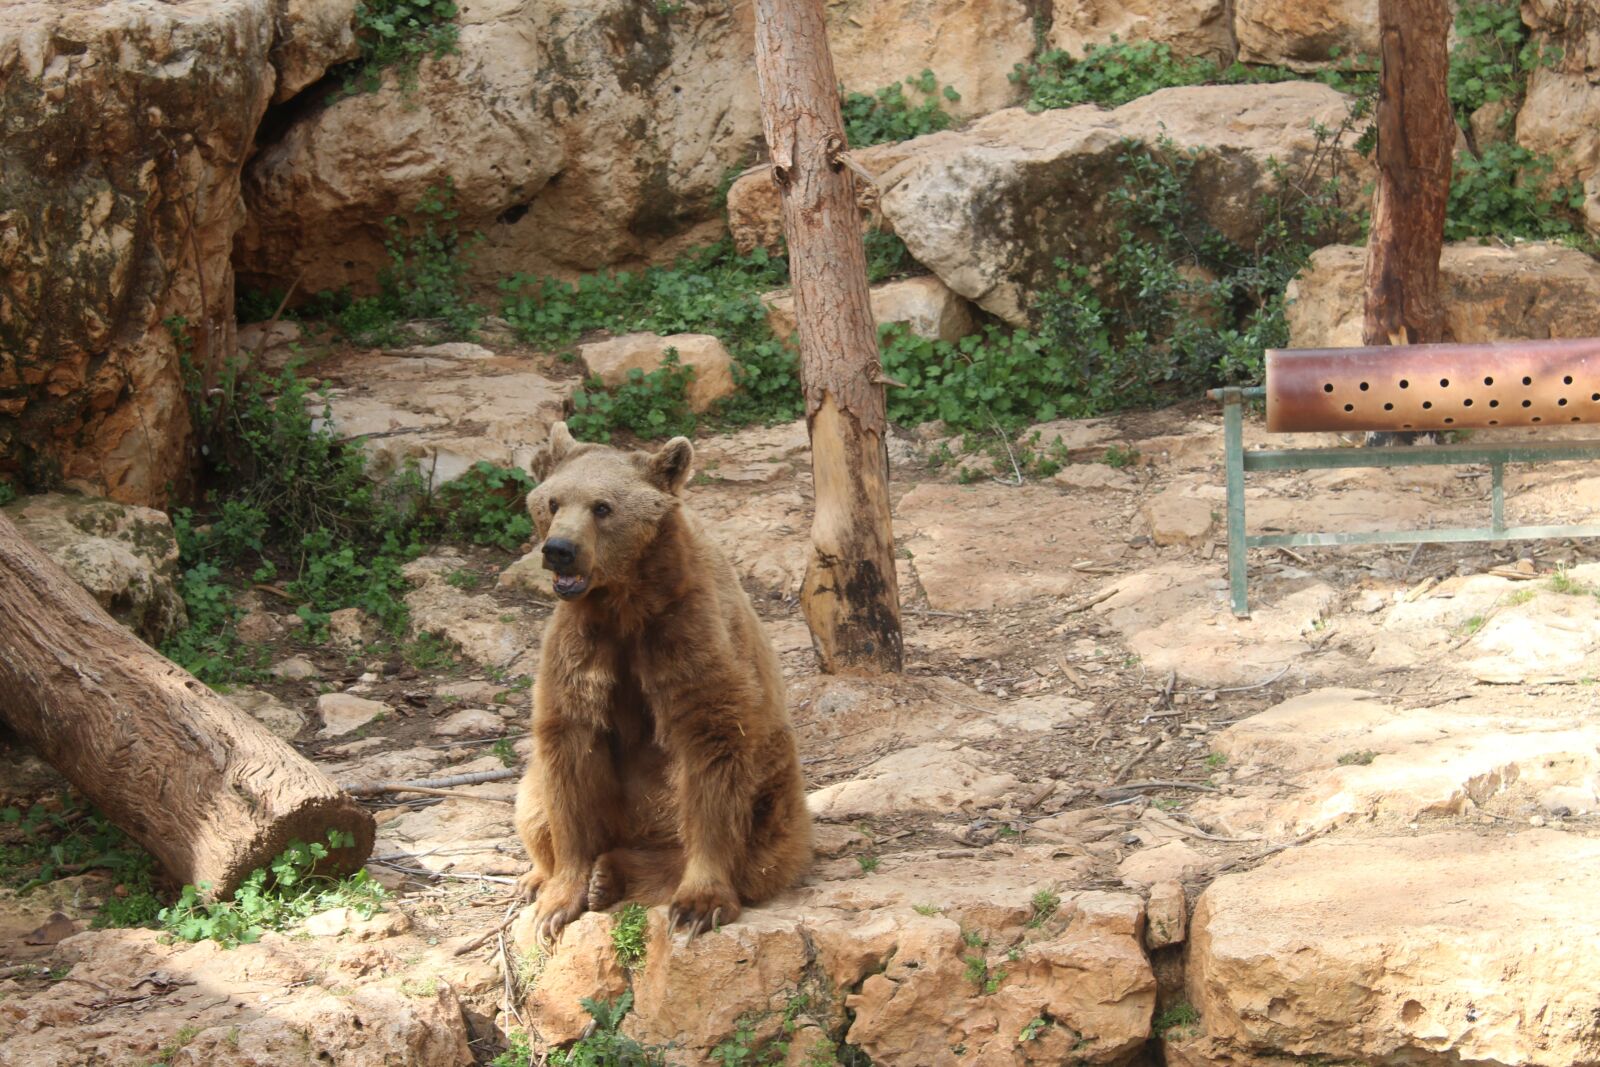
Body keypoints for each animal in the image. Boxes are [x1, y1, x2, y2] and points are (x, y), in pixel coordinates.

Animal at [514, 422, 812, 943]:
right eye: (552, 501)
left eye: (602, 507)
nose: (559, 551)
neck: (625, 602)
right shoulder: (582, 649)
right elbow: (568, 756)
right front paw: (558, 901)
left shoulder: (686, 634)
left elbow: (711, 744)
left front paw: (698, 905)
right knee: (532, 803)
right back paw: (545, 877)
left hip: (774, 792)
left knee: (758, 849)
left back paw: (613, 873)